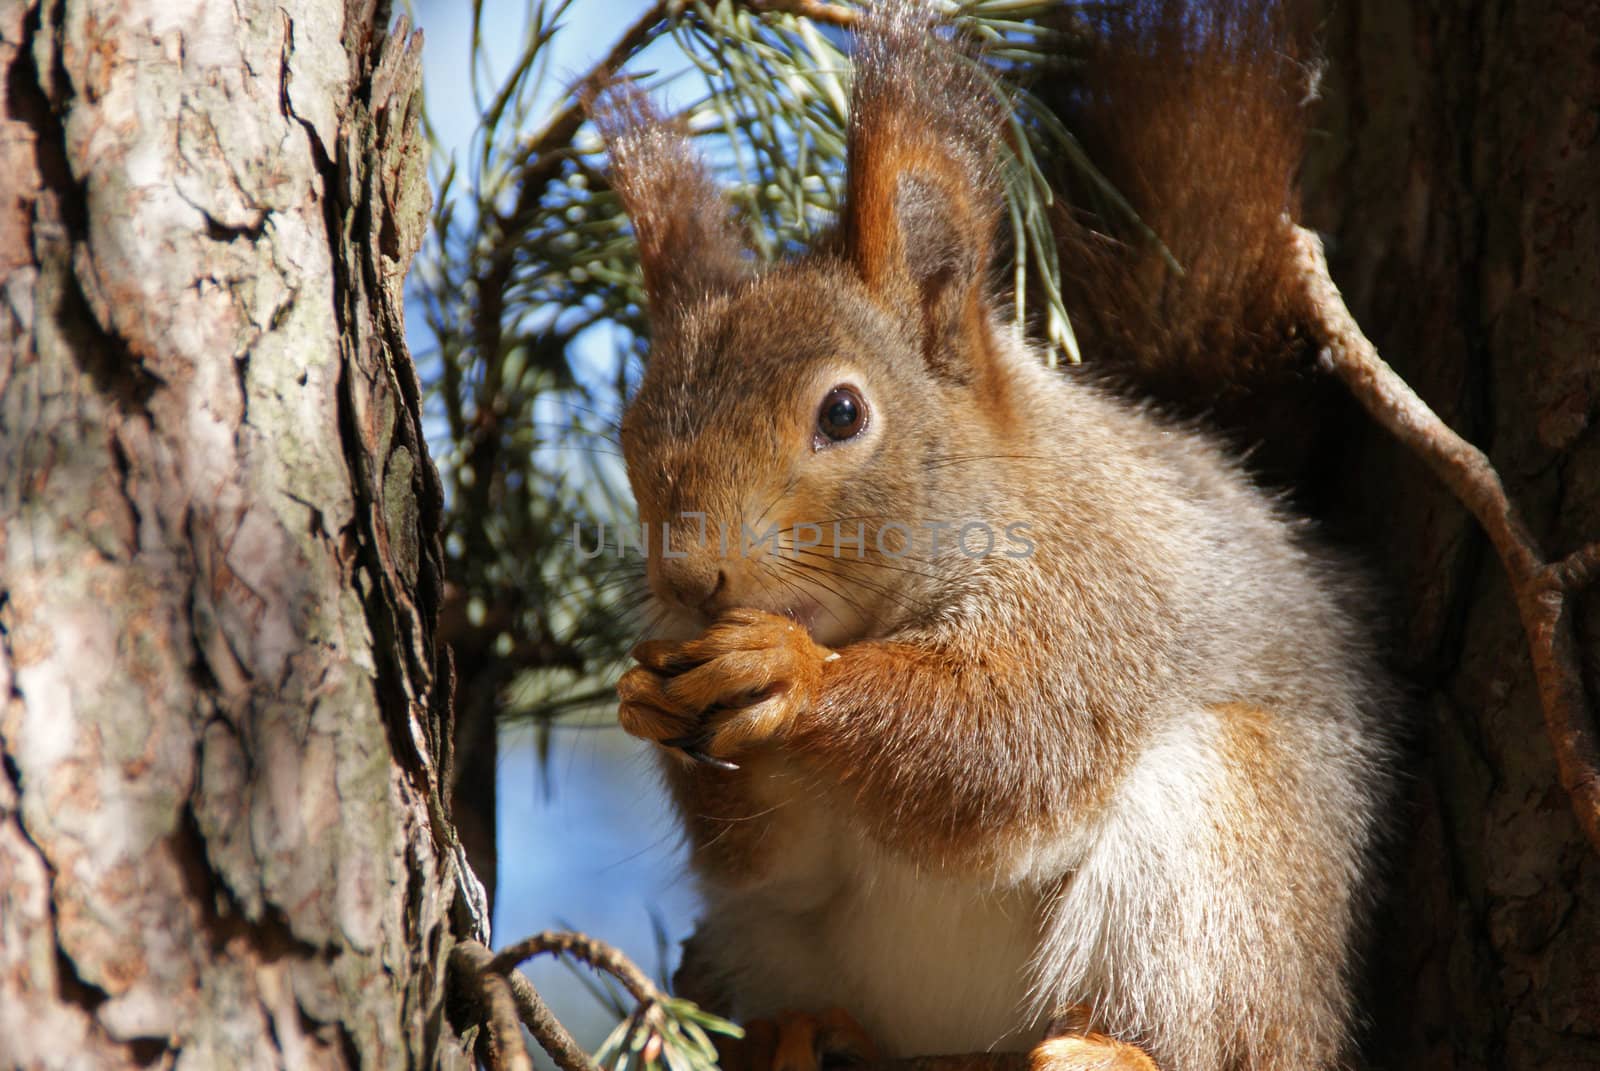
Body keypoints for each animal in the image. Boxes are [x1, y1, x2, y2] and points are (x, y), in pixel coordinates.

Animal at [595, 2, 1395, 1069]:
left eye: (842, 413)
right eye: (631, 434)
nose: (690, 576)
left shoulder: (1096, 584)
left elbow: (1007, 738)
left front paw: (788, 673)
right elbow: (774, 860)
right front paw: (648, 700)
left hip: (1223, 860)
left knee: (1216, 1023)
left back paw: (1110, 1050)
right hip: (766, 942)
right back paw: (798, 1033)